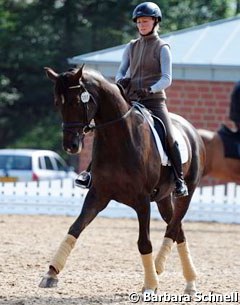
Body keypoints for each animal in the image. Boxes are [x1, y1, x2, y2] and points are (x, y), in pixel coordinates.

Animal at [40, 64, 205, 294]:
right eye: (58, 103)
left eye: (75, 102)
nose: (70, 146)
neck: (117, 139)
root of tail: (192, 130)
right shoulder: (98, 194)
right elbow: (74, 229)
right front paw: (51, 273)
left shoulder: (142, 200)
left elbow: (144, 242)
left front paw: (150, 285)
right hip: (163, 199)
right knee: (178, 230)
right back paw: (187, 282)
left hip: (185, 194)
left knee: (173, 229)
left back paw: (162, 272)